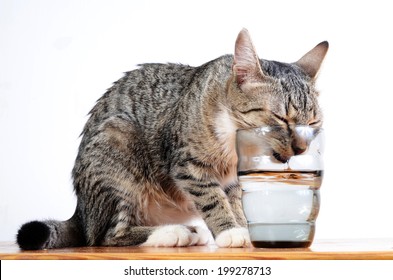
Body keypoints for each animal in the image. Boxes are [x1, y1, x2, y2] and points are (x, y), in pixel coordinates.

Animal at [16, 29, 328, 249]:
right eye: (281, 119)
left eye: (313, 123)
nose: (302, 147)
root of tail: (81, 212)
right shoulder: (187, 164)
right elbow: (212, 198)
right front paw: (230, 231)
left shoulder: (234, 179)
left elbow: (236, 199)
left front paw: (243, 227)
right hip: (117, 145)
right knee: (105, 236)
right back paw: (172, 232)